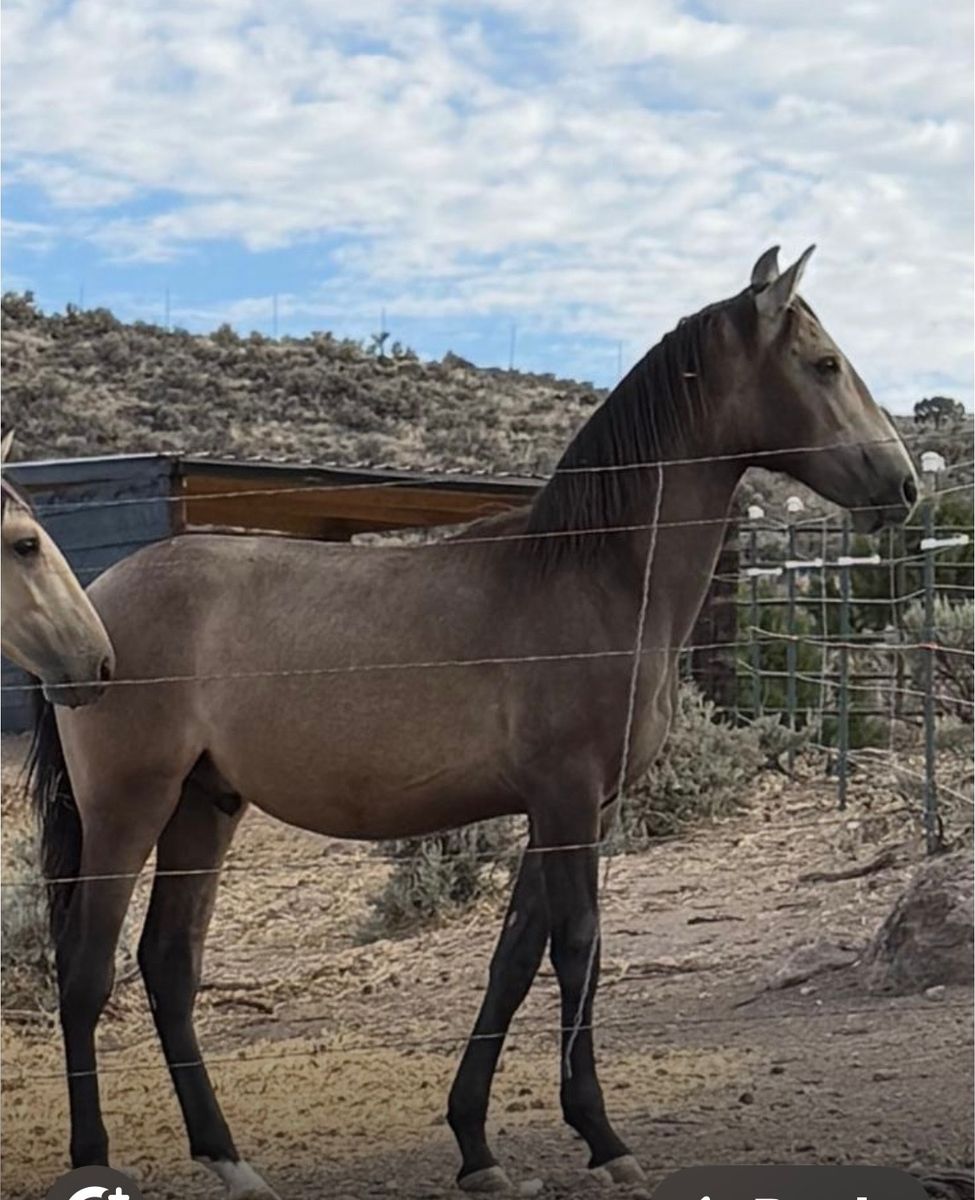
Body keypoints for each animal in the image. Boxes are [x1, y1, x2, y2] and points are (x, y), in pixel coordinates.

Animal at [27, 247, 918, 1198]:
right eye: (823, 364)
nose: (900, 485)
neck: (591, 575)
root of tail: (91, 613)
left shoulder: (567, 809)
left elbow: (513, 960)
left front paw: (476, 1146)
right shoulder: (567, 801)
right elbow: (577, 950)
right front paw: (602, 1137)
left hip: (205, 804)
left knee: (168, 965)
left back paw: (229, 1159)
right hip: (128, 808)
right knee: (85, 972)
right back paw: (94, 1159)